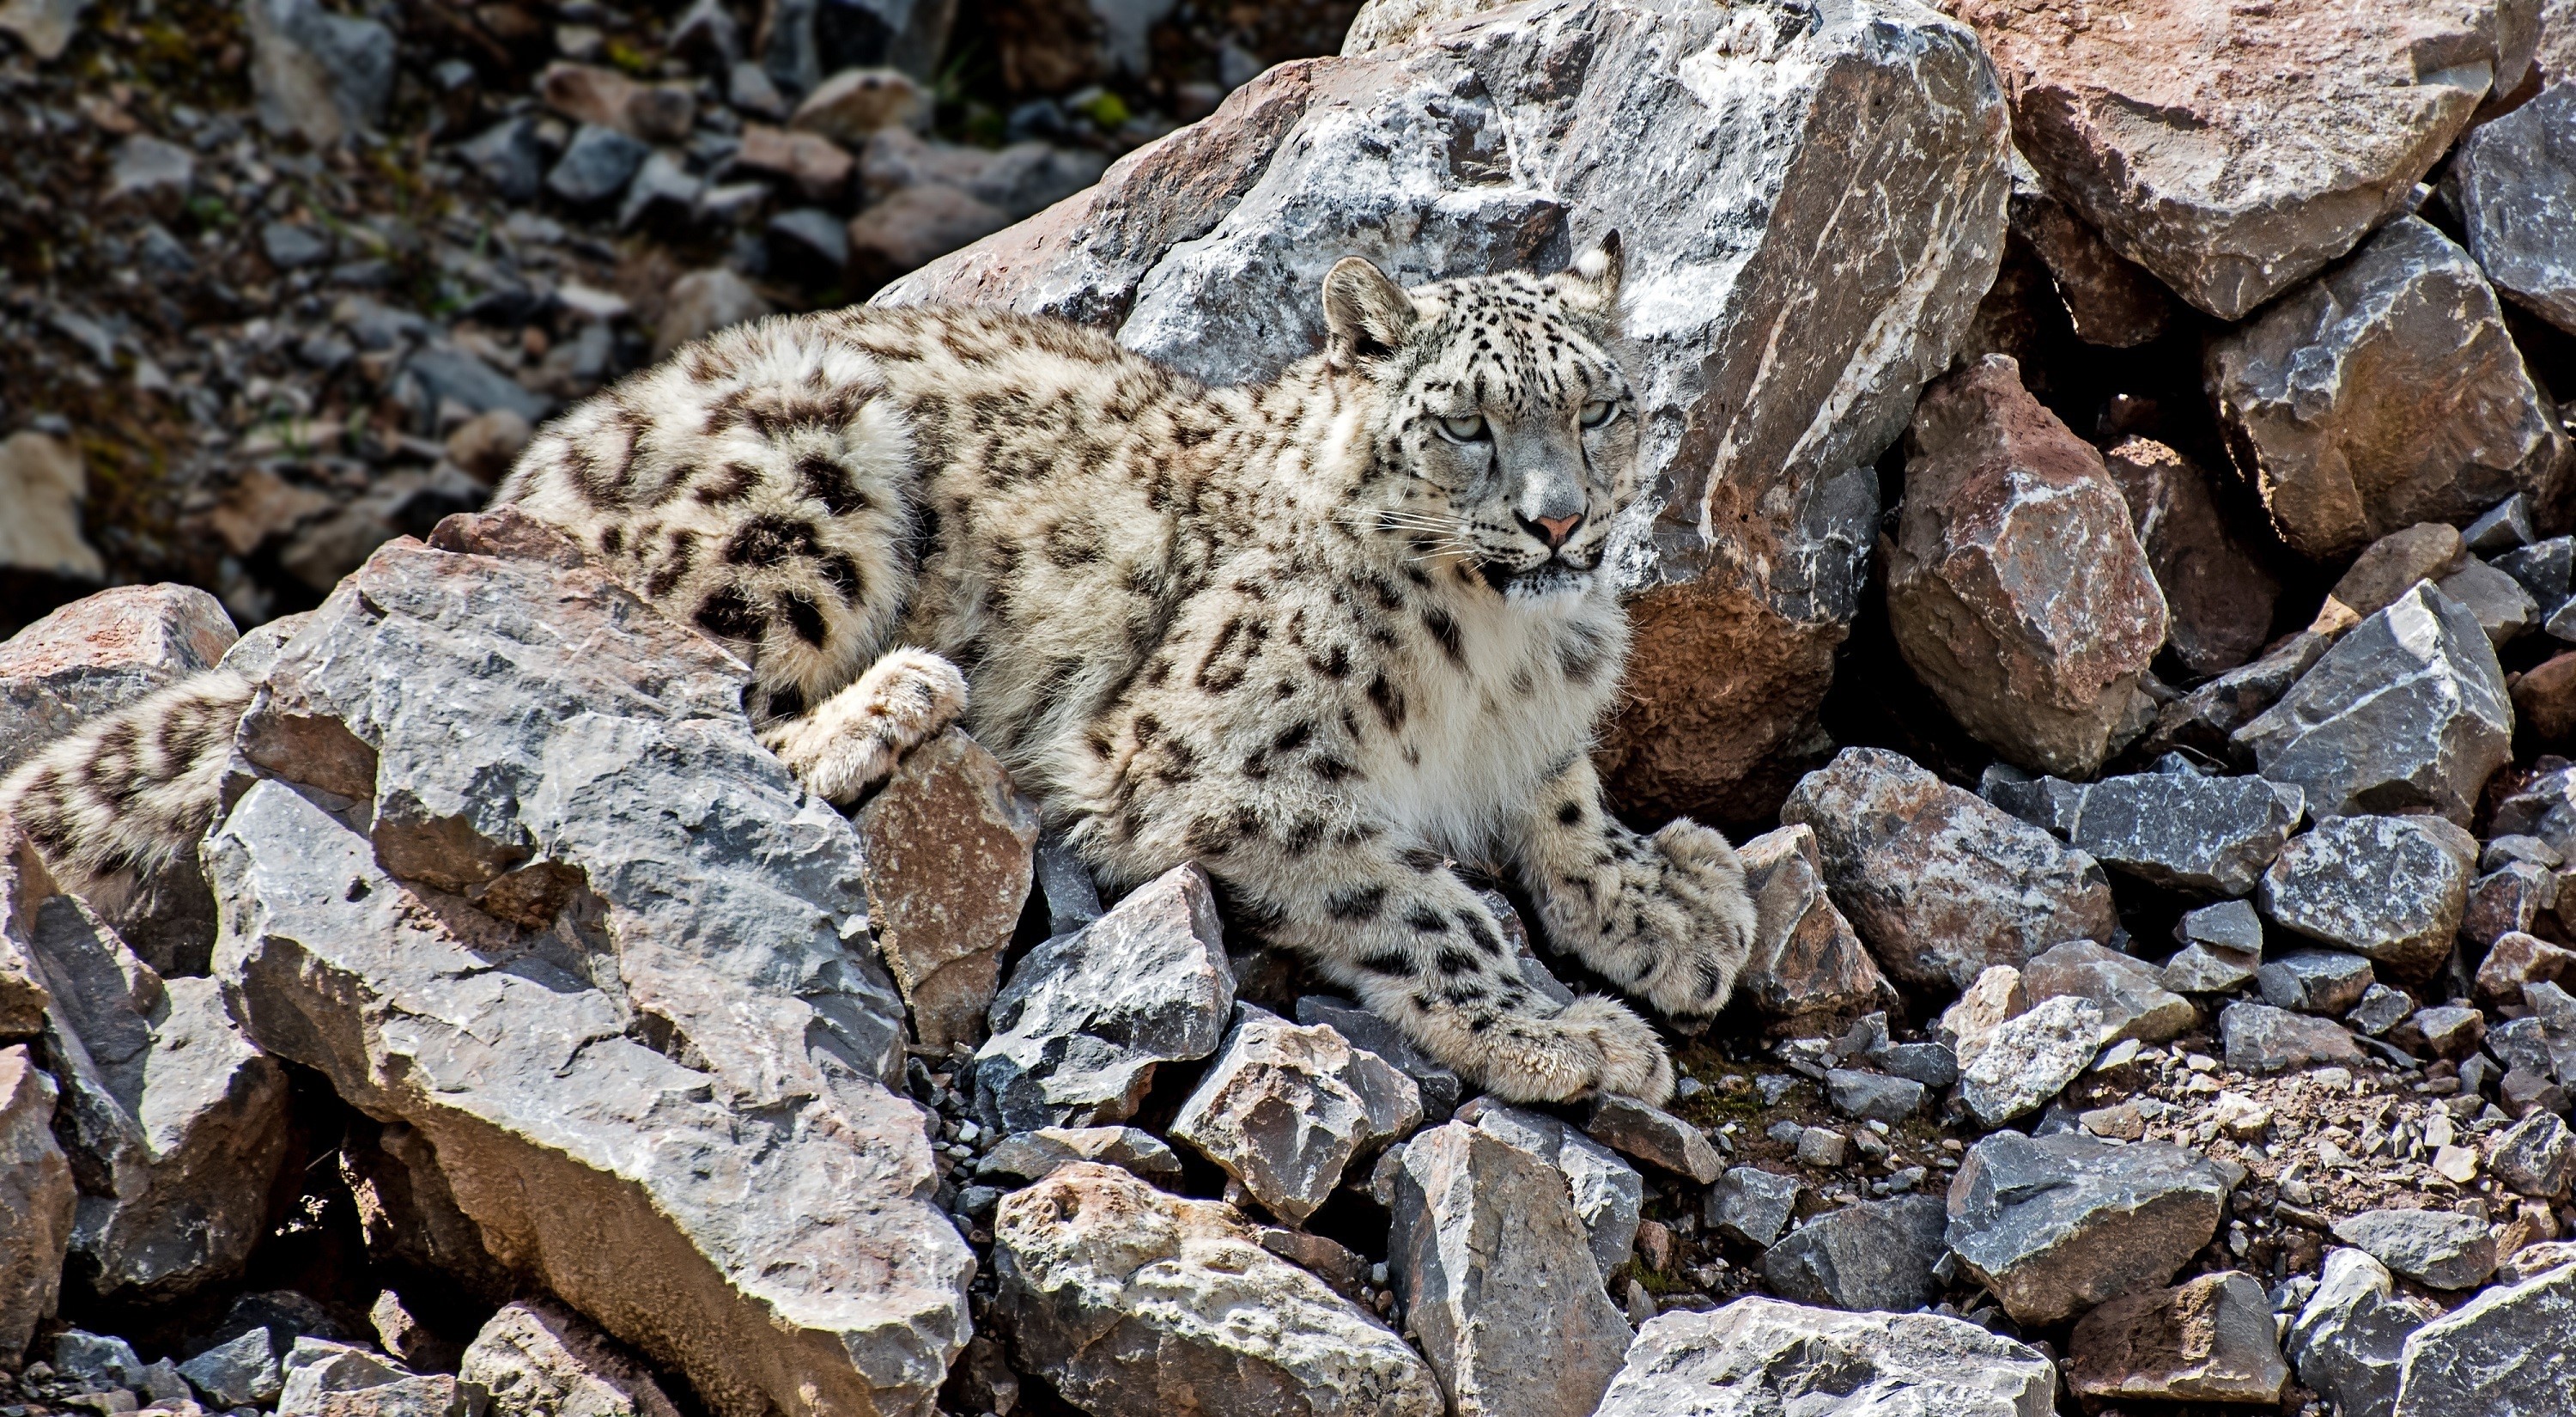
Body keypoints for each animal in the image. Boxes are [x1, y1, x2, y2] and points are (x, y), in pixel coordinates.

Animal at [0, 233, 1757, 1105]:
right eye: (1466, 420)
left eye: (1599, 403)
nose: (1560, 517)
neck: (1505, 646)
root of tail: (532, 477)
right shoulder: (1211, 758)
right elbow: (1412, 892)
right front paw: (1562, 1029)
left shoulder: (1538, 737)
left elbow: (1562, 809)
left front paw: (1671, 909)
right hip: (805, 485)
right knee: (686, 703)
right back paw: (890, 700)